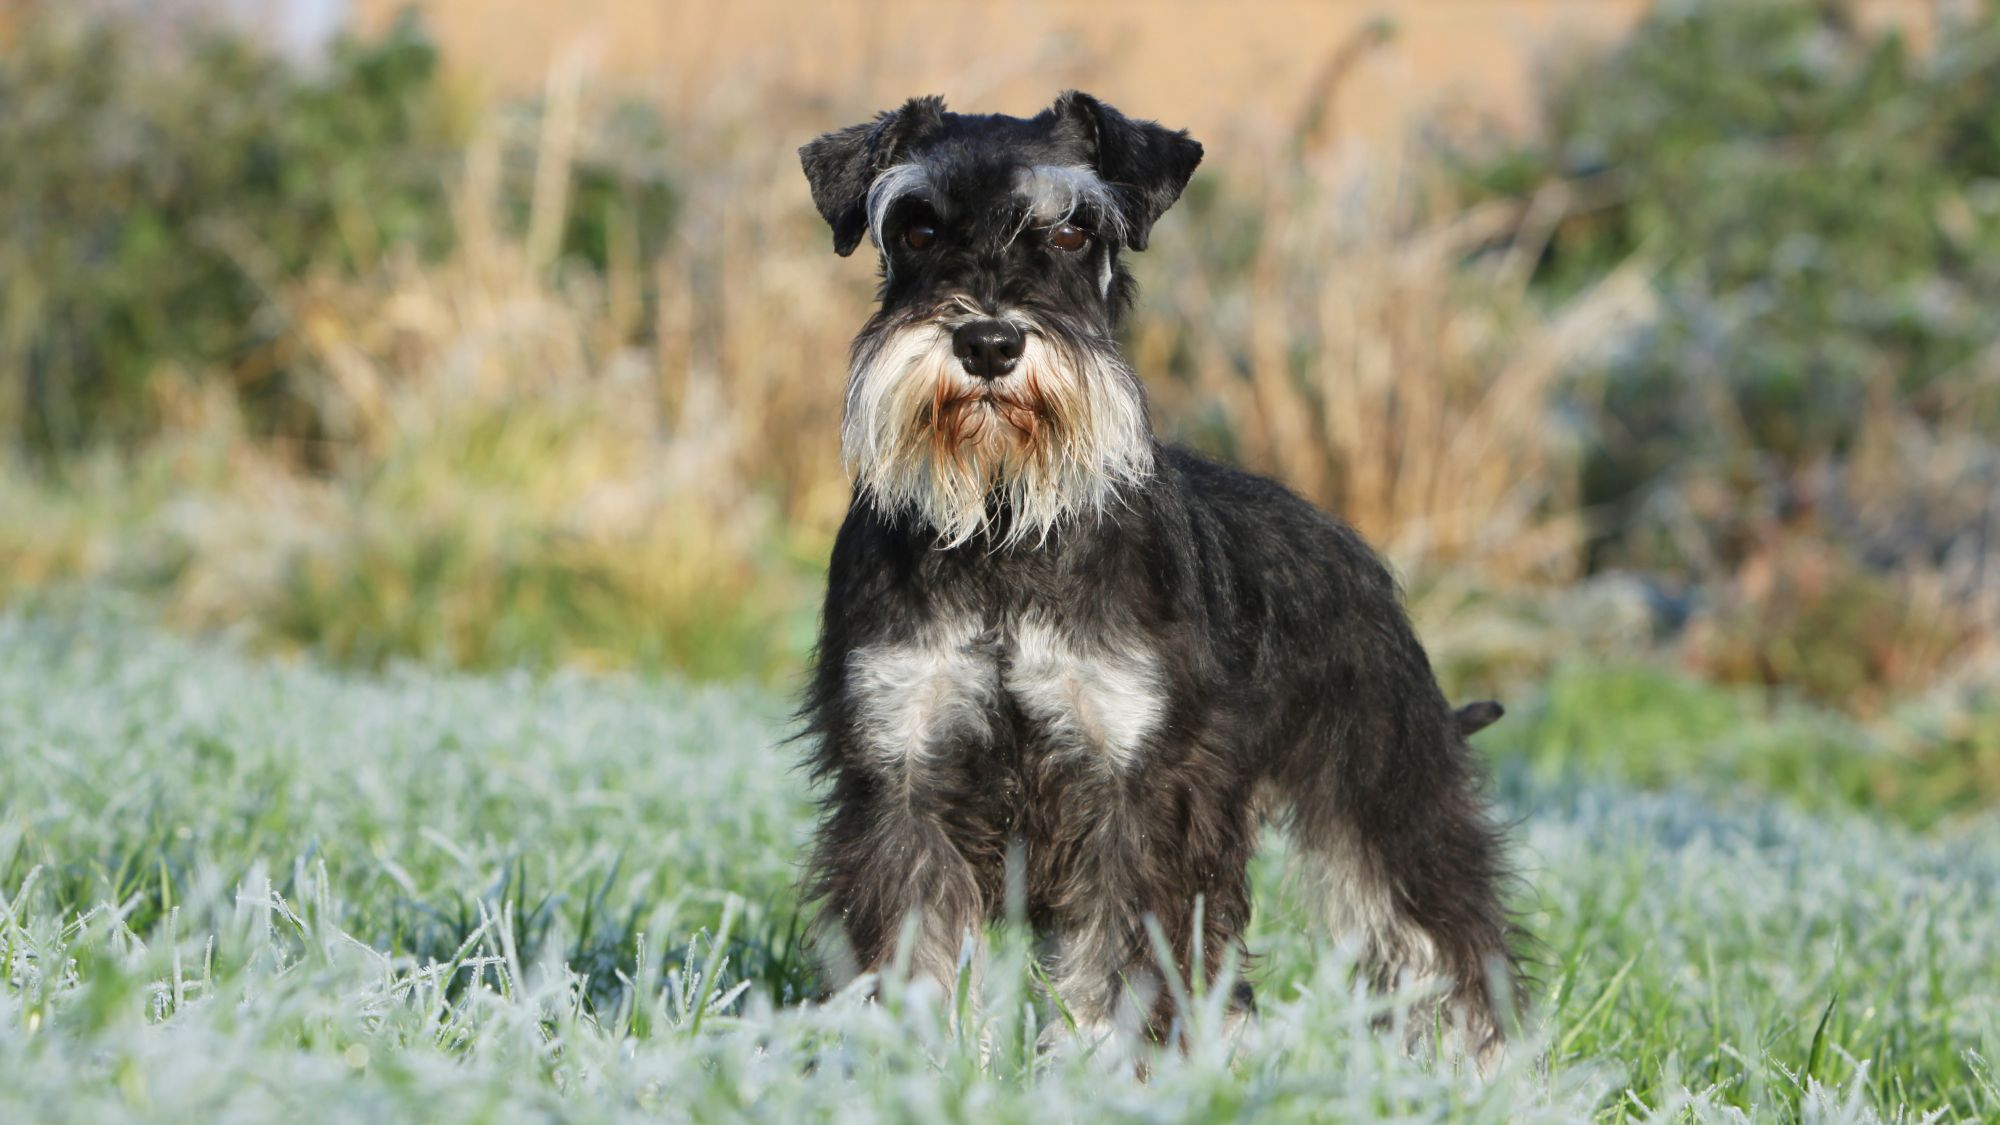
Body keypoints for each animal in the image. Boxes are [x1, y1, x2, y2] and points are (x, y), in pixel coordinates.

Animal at [796, 89, 1512, 1056]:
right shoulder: (904, 767)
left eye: (1071, 230)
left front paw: (1108, 1064)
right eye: (915, 226)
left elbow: (1123, 955)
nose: (988, 341)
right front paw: (916, 1064)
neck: (1004, 525)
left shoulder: (1138, 783)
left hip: (1388, 785)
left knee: (1442, 935)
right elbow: (917, 949)